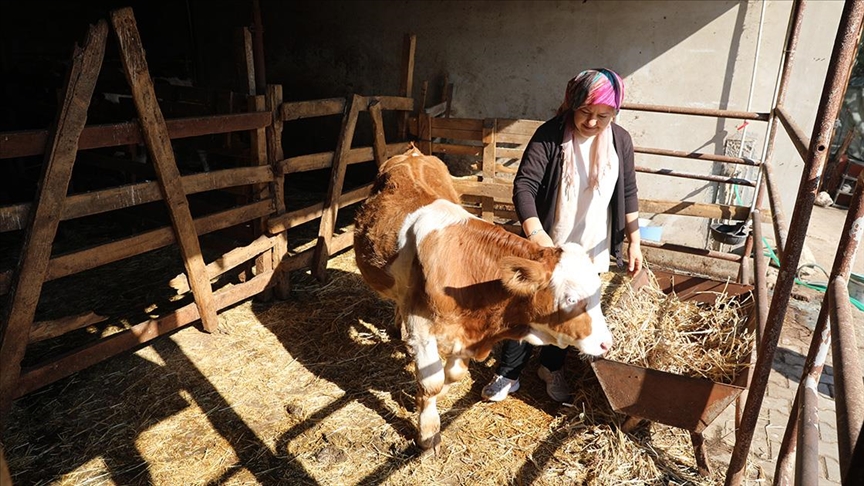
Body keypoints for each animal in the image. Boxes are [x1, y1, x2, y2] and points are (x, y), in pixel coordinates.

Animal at [354, 144, 612, 452]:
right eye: (571, 299)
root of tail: (413, 153)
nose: (606, 343)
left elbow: (453, 374)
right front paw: (428, 432)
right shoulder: (422, 325)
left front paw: (434, 397)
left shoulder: (467, 334)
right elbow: (431, 382)